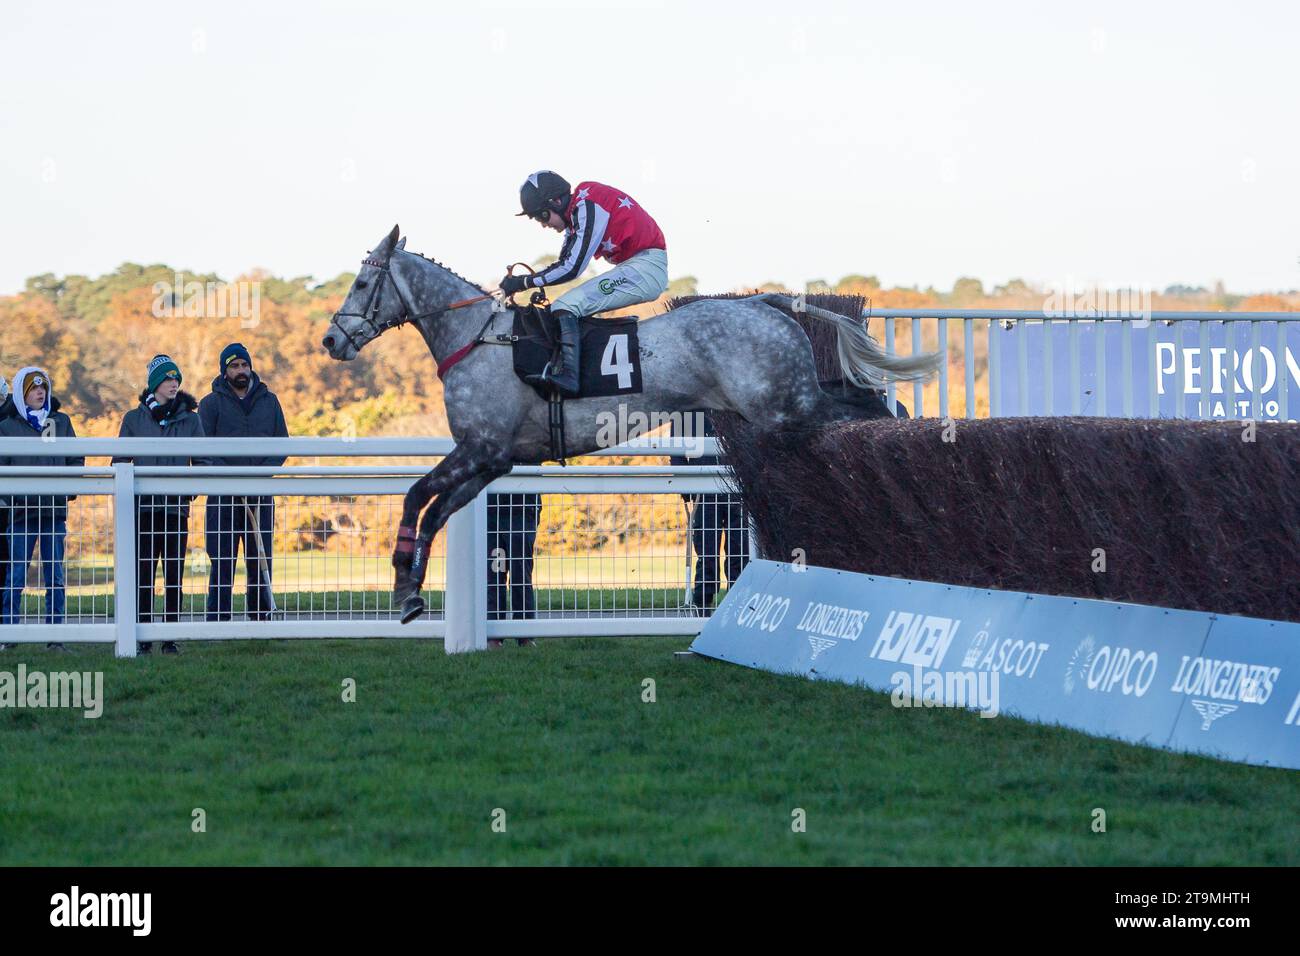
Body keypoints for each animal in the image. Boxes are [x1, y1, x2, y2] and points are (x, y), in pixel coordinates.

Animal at [321, 227, 941, 624]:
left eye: (361, 285)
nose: (331, 340)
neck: (478, 338)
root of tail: (764, 303)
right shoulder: (492, 459)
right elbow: (433, 512)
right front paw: (408, 592)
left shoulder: (478, 451)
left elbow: (414, 496)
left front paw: (403, 583)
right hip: (779, 404)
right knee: (853, 398)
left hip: (785, 405)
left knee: (857, 407)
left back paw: (905, 437)